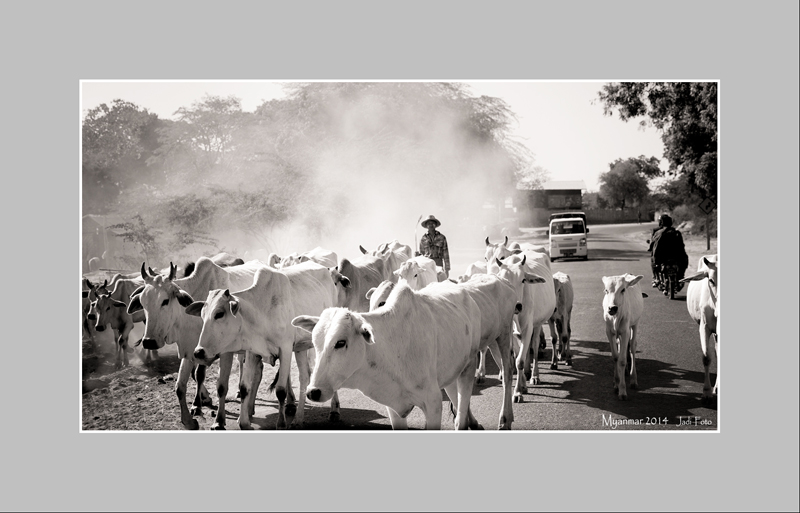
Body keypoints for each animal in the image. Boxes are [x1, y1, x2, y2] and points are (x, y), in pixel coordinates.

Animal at [127, 258, 266, 430]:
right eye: (143, 303)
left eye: (165, 301)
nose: (148, 341)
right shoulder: (189, 351)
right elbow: (181, 385)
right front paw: (189, 418)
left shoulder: (225, 353)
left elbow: (221, 386)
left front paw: (218, 420)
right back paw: (250, 406)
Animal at [187, 261, 340, 430]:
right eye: (202, 315)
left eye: (219, 314)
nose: (199, 352)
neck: (261, 310)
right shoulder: (253, 351)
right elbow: (244, 387)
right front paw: (243, 422)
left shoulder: (285, 349)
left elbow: (280, 390)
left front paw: (281, 424)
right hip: (300, 348)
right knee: (304, 378)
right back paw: (299, 418)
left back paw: (334, 410)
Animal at [292, 280, 483, 430]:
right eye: (315, 342)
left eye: (340, 342)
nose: (313, 392)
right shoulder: (394, 408)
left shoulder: (433, 403)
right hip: (451, 372)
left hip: (469, 366)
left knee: (461, 411)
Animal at [491, 250, 555, 402]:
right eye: (504, 281)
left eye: (523, 280)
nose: (518, 305)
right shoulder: (509, 332)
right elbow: (515, 358)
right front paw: (521, 387)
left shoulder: (527, 328)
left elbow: (519, 360)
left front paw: (518, 392)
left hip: (537, 324)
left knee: (535, 347)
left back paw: (535, 375)